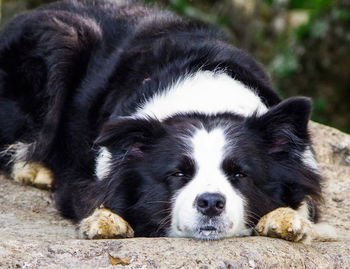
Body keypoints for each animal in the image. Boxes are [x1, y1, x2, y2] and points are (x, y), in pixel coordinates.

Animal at [0, 0, 334, 242]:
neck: (206, 99)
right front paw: (105, 222)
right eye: (177, 174)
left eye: (240, 175)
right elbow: (94, 193)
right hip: (63, 36)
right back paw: (34, 169)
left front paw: (287, 220)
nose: (210, 203)